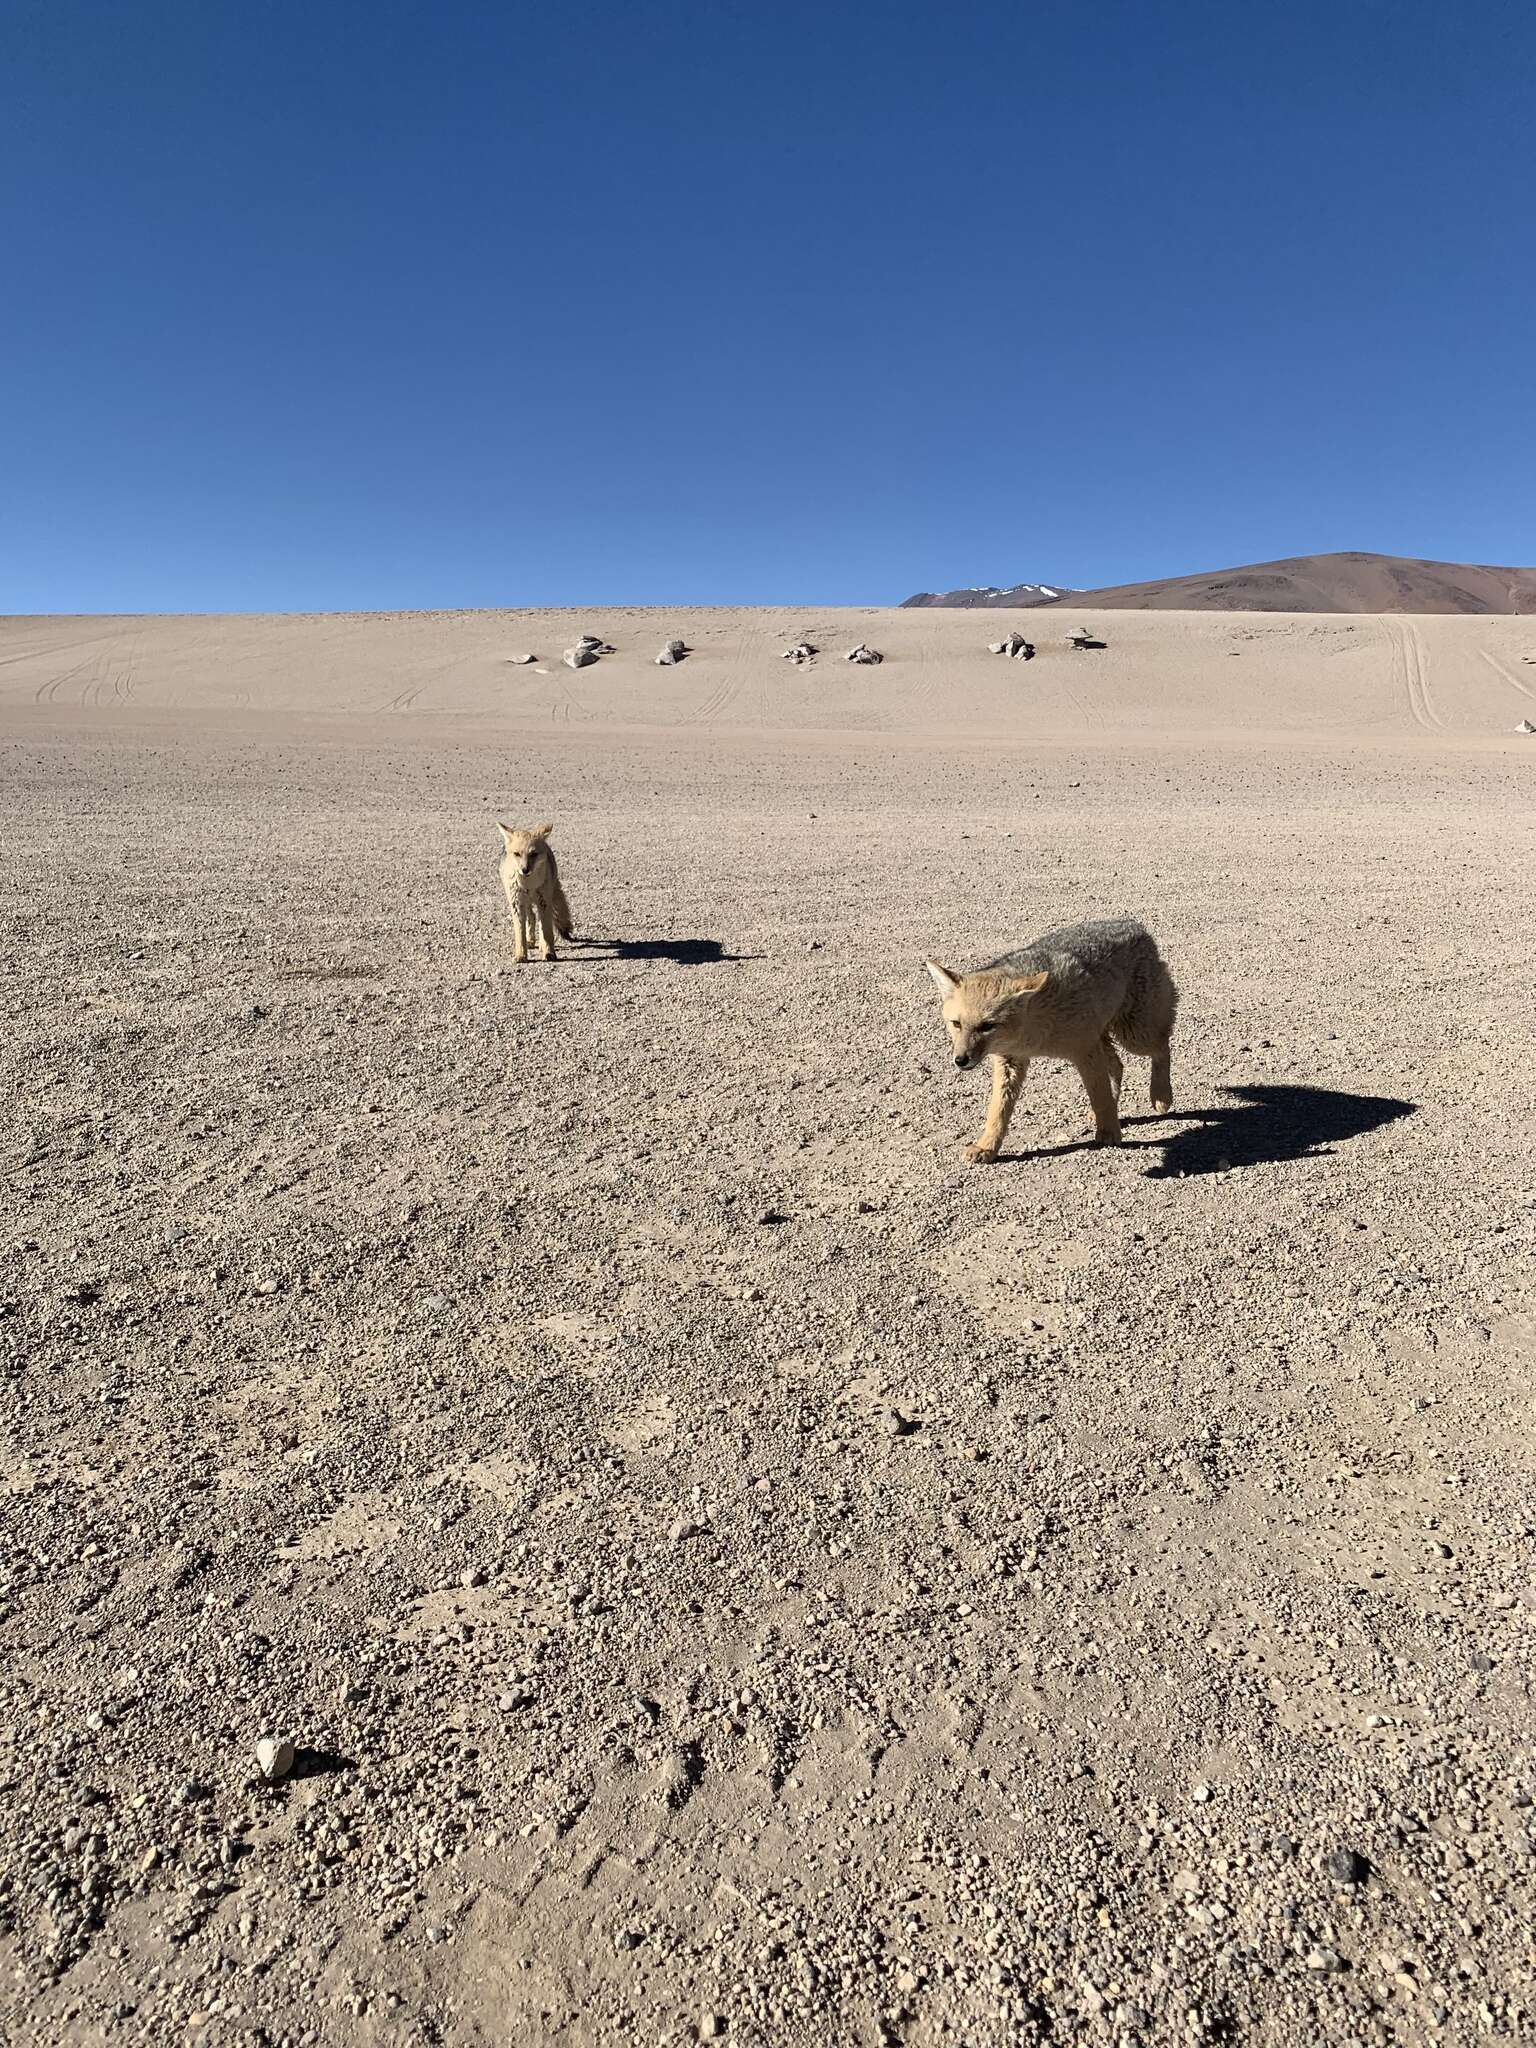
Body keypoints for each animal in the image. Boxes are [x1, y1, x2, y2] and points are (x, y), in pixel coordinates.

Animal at [499, 819, 577, 962]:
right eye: (517, 854)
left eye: (533, 854)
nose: (524, 870)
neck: (529, 884)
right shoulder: (516, 903)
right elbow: (520, 932)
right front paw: (521, 955)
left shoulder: (544, 901)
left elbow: (546, 930)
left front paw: (549, 953)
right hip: (527, 903)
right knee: (532, 917)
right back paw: (530, 941)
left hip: (545, 898)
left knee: (542, 921)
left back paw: (541, 945)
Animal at [925, 917, 1179, 1163]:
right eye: (956, 1024)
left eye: (987, 1026)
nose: (960, 1060)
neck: (1030, 1036)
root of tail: (1134, 925)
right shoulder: (1009, 1061)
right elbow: (997, 1111)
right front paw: (986, 1147)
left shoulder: (1085, 1051)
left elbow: (1099, 1094)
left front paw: (1108, 1132)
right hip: (1105, 1038)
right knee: (1119, 1065)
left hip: (1135, 1035)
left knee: (1162, 1046)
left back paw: (1161, 1095)